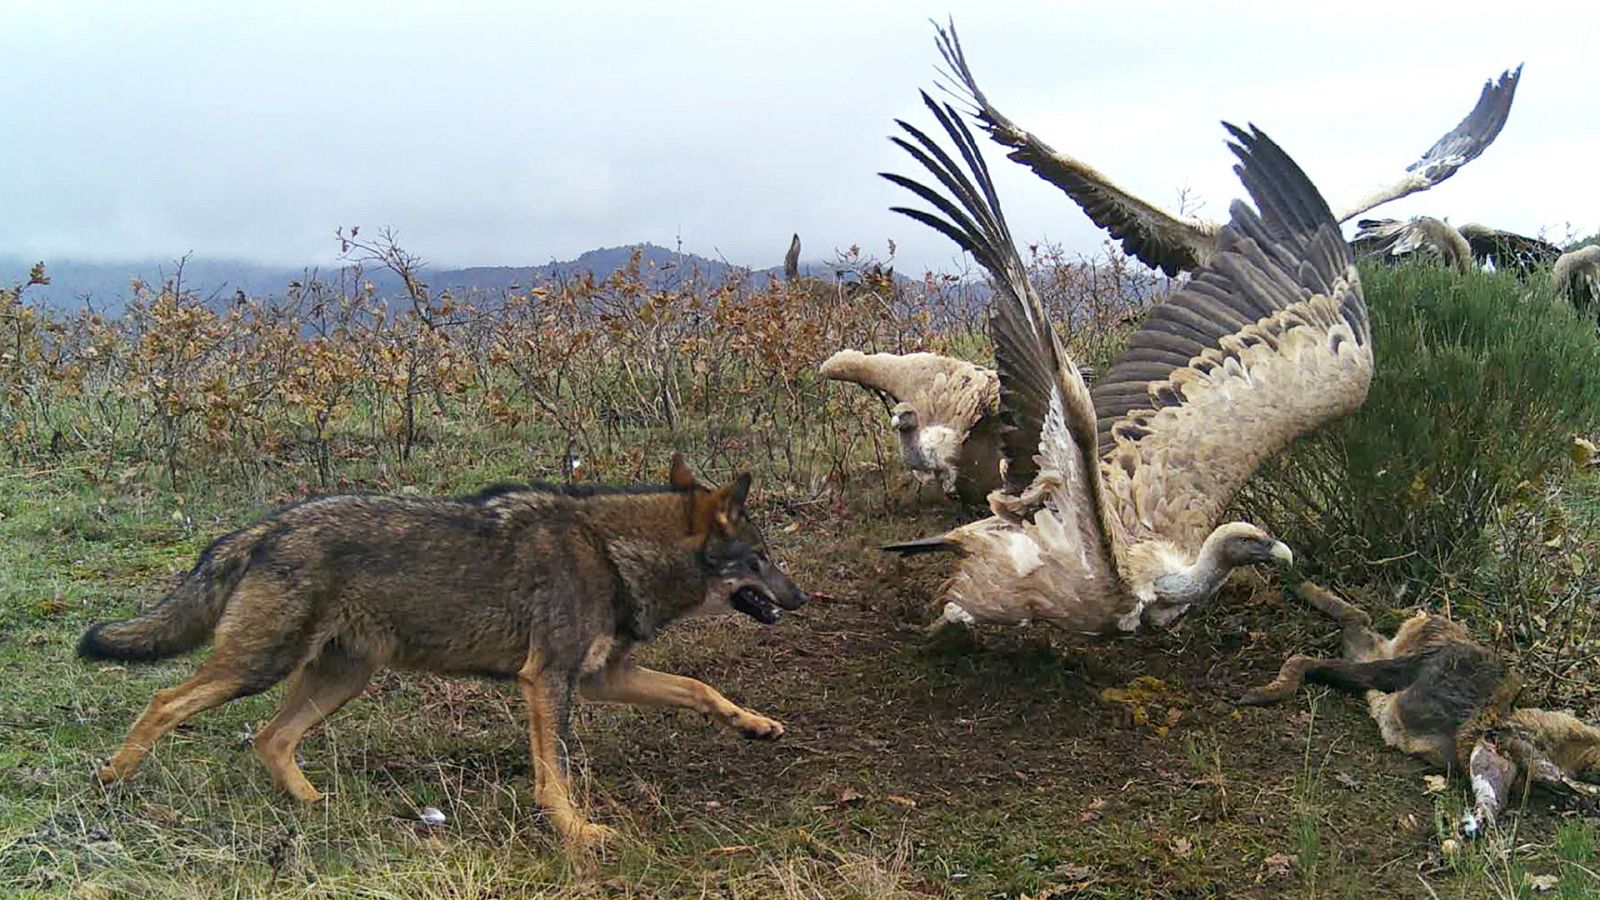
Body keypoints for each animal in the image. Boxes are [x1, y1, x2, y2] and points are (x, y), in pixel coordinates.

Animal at [78, 454, 808, 852]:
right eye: (762, 558)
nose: (801, 597)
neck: (612, 554)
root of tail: (265, 527)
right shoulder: (548, 680)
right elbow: (555, 774)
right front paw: (576, 834)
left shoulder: (602, 677)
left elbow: (700, 690)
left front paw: (755, 724)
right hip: (262, 668)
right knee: (166, 699)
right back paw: (113, 777)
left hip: (339, 679)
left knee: (270, 738)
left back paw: (312, 803)